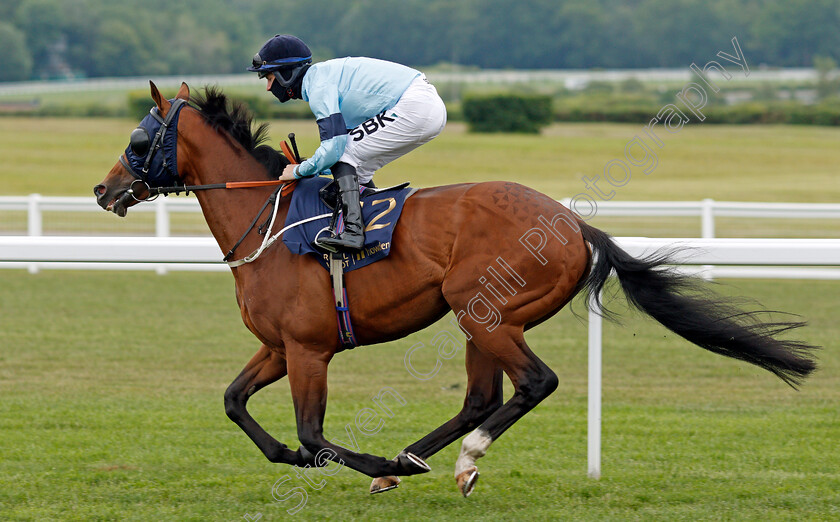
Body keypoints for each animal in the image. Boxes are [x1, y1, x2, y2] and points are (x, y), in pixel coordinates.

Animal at [95, 82, 816, 496]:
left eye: (138, 138)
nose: (103, 190)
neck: (265, 221)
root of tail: (574, 223)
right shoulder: (276, 346)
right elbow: (235, 402)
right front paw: (307, 458)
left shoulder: (308, 349)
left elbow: (313, 434)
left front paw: (355, 461)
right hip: (477, 319)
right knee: (479, 398)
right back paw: (412, 459)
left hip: (486, 312)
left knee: (533, 383)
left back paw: (453, 461)